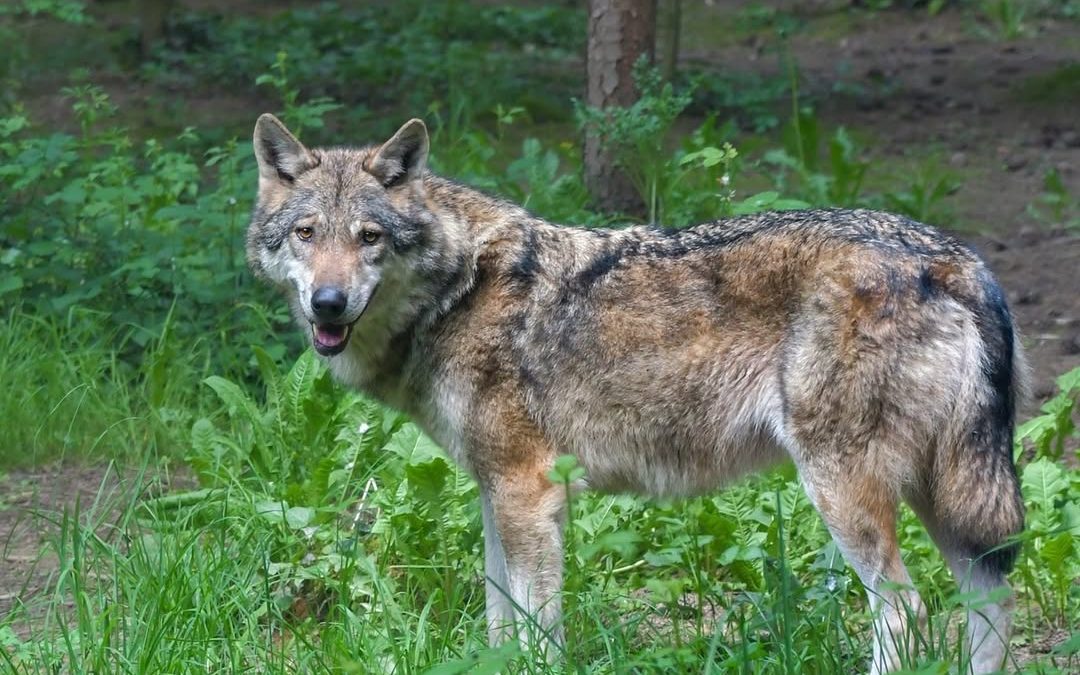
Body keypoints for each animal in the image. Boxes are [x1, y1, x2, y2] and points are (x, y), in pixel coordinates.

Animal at [247, 114, 1027, 673]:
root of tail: (956, 260)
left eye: (369, 237)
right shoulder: (496, 491)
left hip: (847, 491)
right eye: (307, 233)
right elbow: (501, 622)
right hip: (946, 496)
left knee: (907, 612)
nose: (327, 303)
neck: (459, 290)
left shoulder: (530, 490)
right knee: (989, 600)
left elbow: (537, 631)